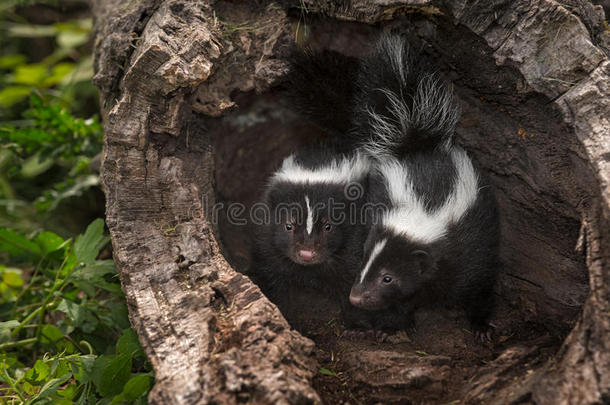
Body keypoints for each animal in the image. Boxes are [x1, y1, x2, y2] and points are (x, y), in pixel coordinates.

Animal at [248, 148, 370, 328]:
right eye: (288, 226)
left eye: (328, 226)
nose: (307, 254)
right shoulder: (267, 245)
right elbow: (276, 282)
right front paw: (286, 317)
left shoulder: (354, 242)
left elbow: (351, 282)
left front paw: (357, 326)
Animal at [346, 35, 498, 338]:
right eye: (365, 261)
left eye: (388, 277)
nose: (356, 297)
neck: (426, 211)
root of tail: (416, 143)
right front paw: (390, 327)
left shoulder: (471, 247)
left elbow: (479, 285)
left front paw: (481, 326)